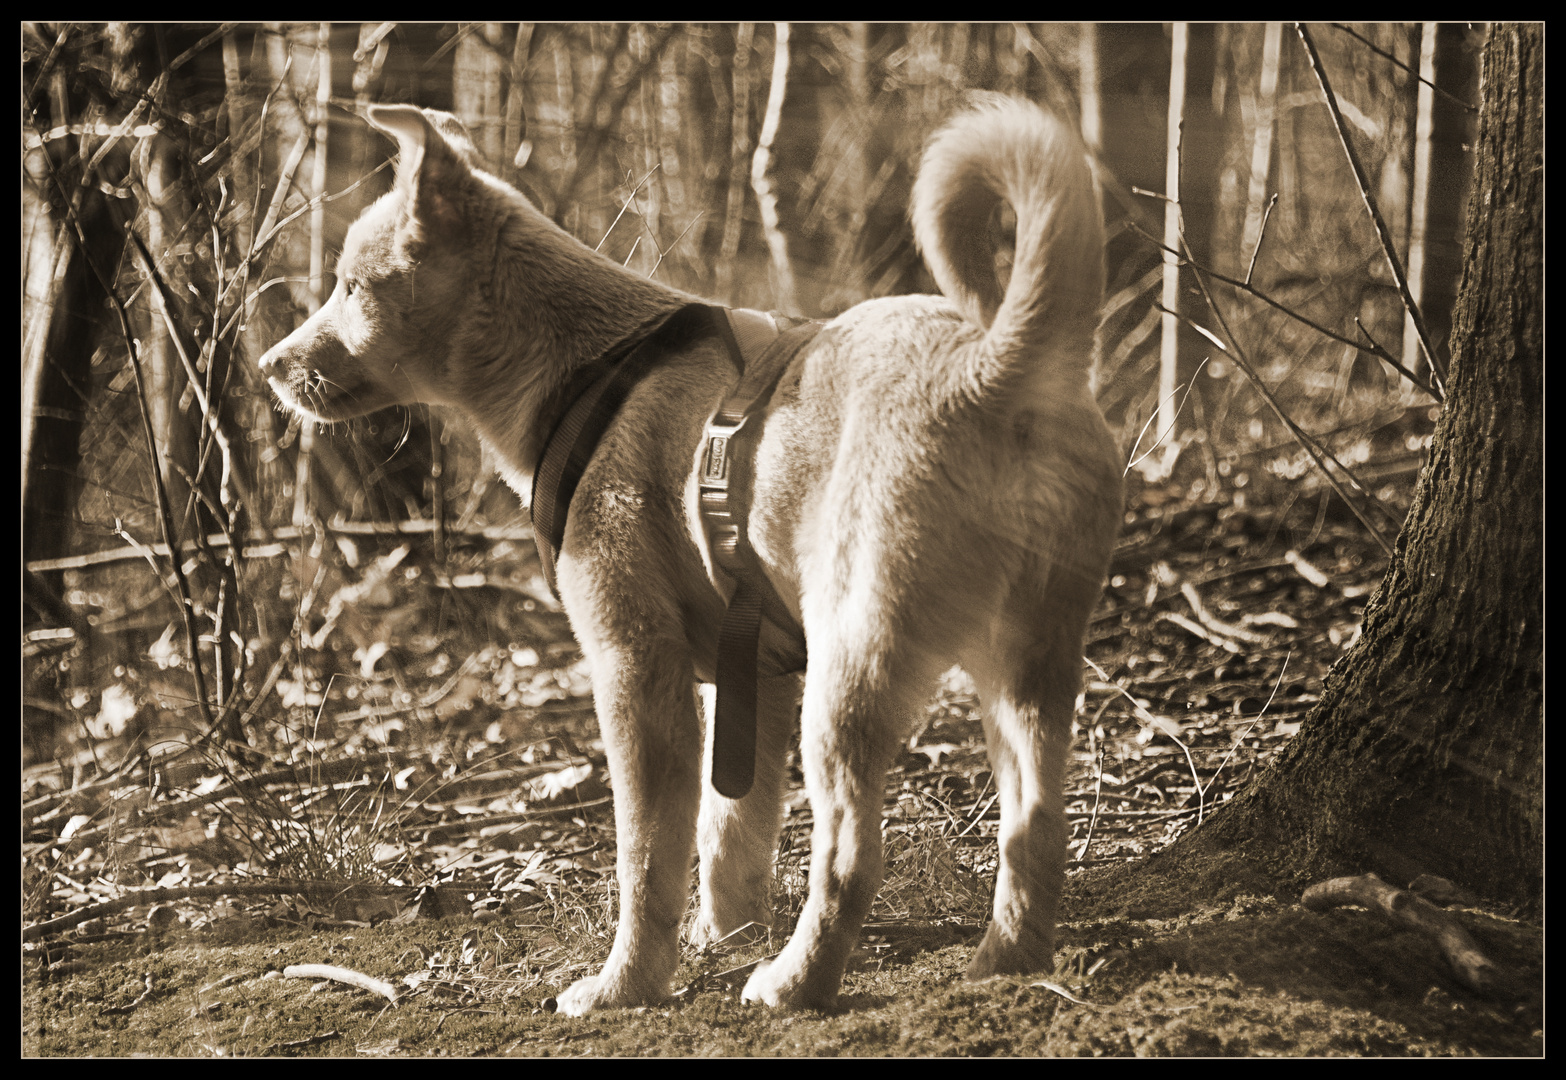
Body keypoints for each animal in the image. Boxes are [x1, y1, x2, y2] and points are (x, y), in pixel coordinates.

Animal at [266, 92, 1127, 1008]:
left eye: (352, 287)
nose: (269, 364)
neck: (584, 367)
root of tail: (994, 367)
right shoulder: (754, 677)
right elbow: (731, 829)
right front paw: (726, 936)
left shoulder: (636, 665)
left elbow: (648, 858)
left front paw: (626, 984)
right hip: (1029, 664)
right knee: (1036, 825)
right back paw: (1004, 959)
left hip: (851, 670)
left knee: (852, 854)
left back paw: (795, 982)